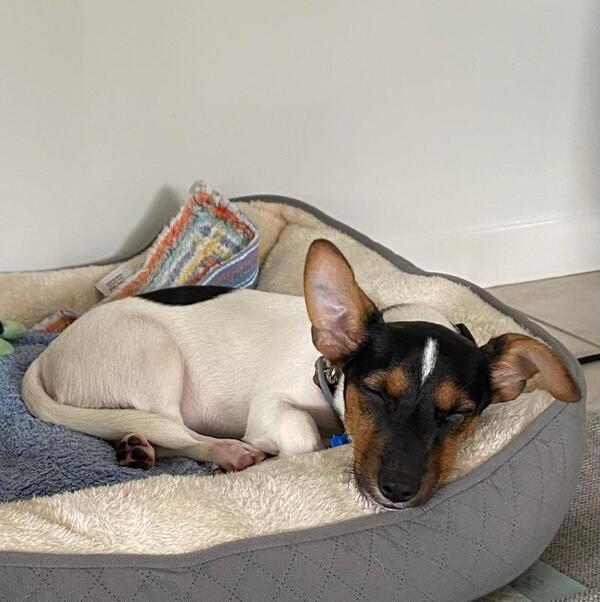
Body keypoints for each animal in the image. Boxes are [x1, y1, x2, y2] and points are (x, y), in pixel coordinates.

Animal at [22, 239, 580, 508]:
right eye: (375, 393)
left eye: (459, 415)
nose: (397, 491)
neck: (330, 381)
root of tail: (47, 357)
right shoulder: (273, 409)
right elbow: (303, 433)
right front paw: (271, 450)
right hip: (154, 356)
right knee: (174, 432)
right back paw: (221, 453)